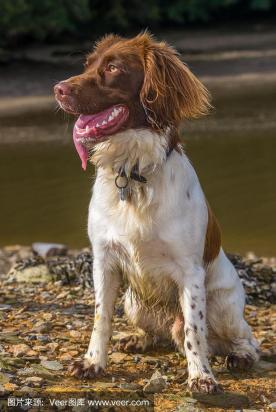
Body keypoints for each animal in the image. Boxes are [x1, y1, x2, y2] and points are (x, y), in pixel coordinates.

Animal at [55, 32, 260, 392]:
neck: (133, 172)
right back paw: (138, 338)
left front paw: (201, 376)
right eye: (87, 65)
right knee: (158, 333)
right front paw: (93, 362)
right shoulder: (104, 260)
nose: (58, 89)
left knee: (245, 339)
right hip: (133, 302)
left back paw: (240, 357)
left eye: (113, 68)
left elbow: (194, 329)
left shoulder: (190, 273)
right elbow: (100, 317)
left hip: (224, 305)